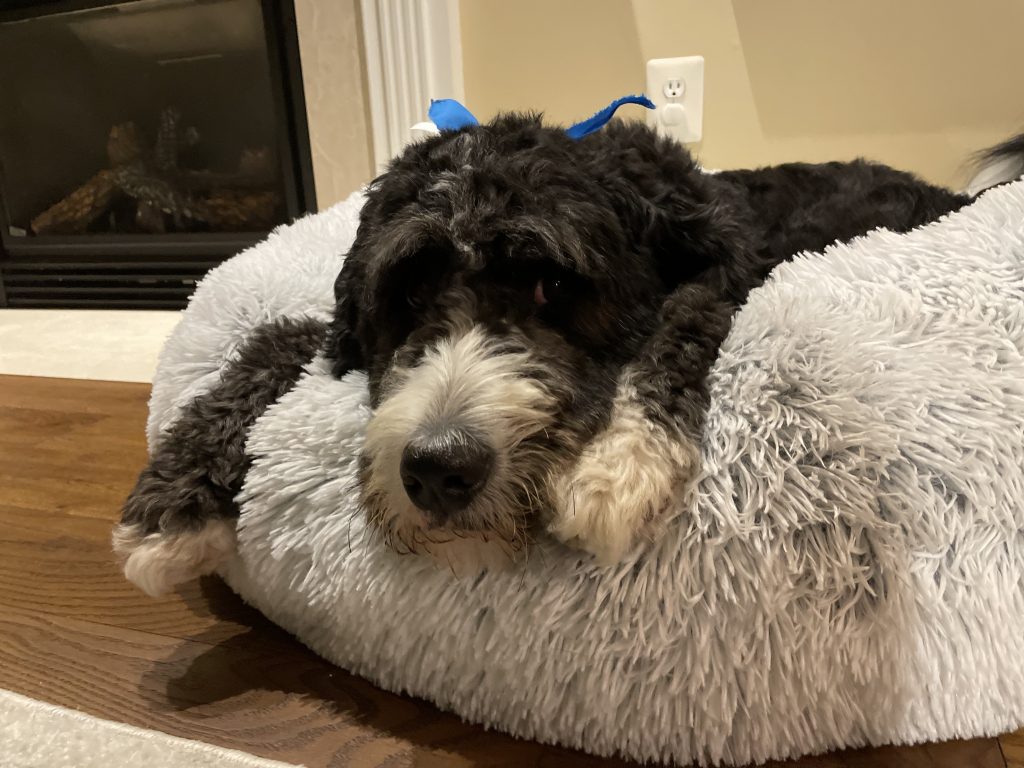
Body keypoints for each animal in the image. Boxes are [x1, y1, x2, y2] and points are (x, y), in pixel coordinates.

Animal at [114, 114, 1024, 593]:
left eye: (553, 285)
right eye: (404, 295)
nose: (439, 469)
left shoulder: (730, 272)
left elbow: (686, 312)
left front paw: (620, 461)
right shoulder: (340, 335)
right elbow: (278, 336)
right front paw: (174, 504)